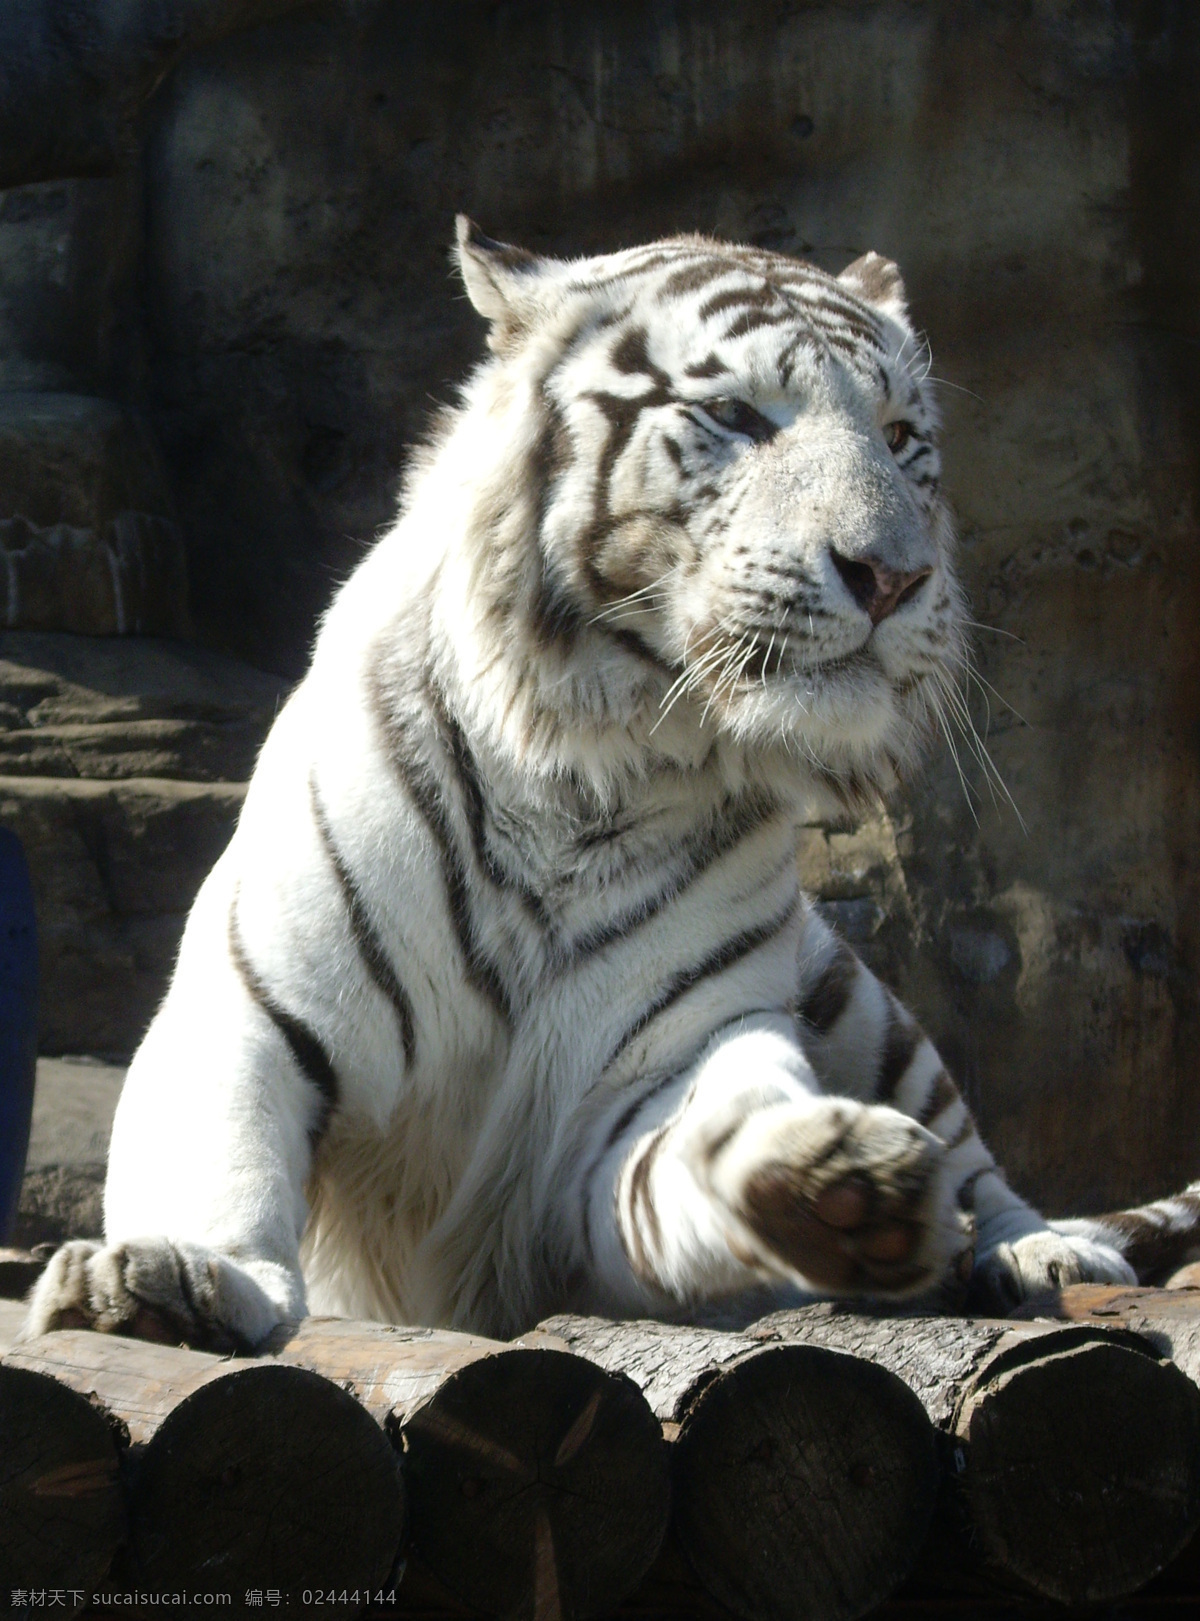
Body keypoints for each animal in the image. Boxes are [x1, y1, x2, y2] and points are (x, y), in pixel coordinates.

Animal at [23, 222, 1141, 1348]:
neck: (595, 770)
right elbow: (217, 1160)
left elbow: (708, 1146)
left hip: (854, 990)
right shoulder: (254, 1001)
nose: (895, 577)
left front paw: (832, 1185)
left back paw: (1042, 1251)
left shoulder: (656, 1071)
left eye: (902, 432)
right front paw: (175, 1273)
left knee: (976, 1158)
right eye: (737, 414)